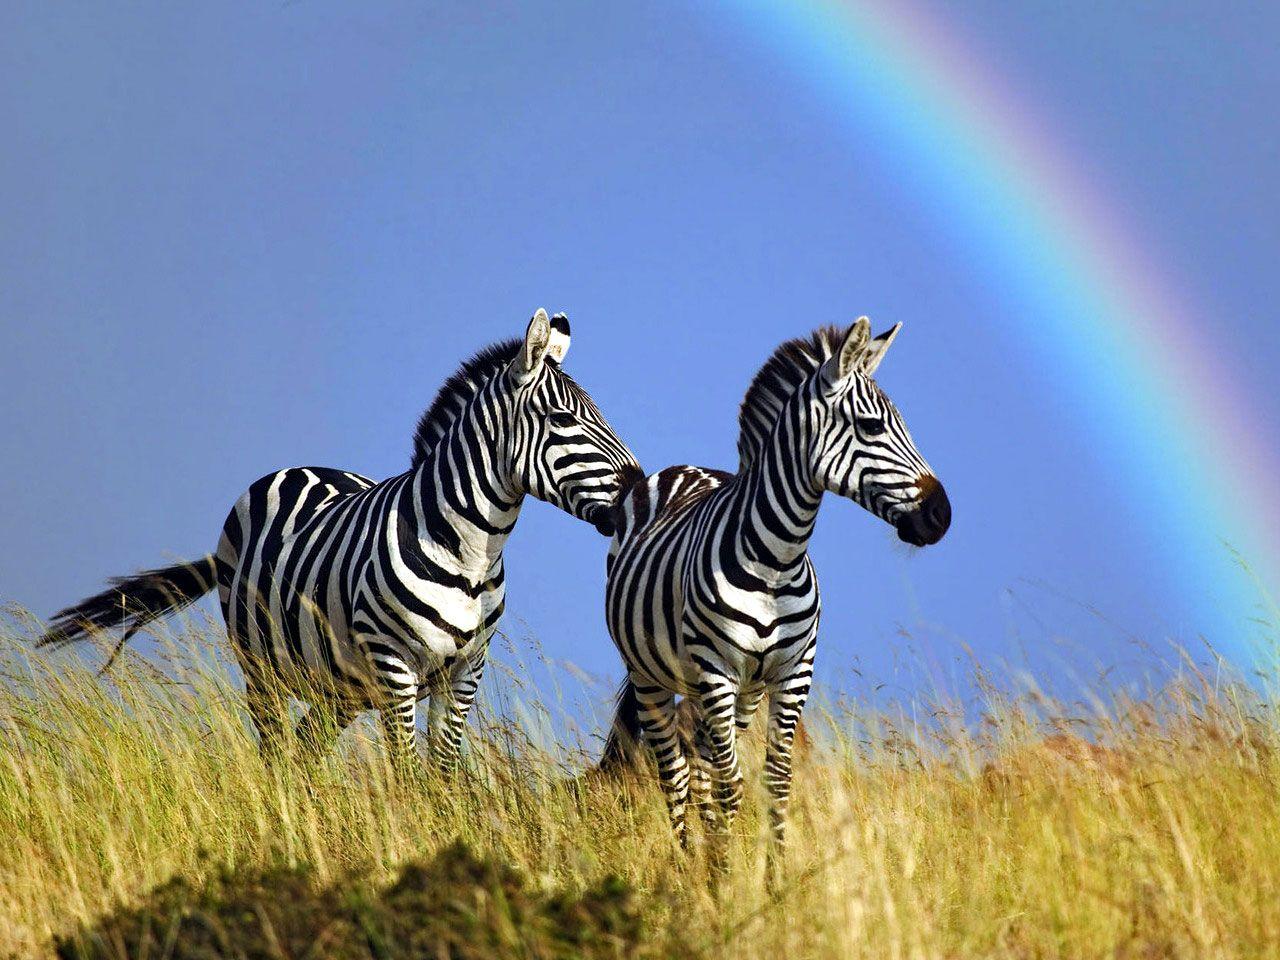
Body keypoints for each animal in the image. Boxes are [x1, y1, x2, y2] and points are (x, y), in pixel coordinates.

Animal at [39, 309, 642, 773]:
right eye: (562, 418)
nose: (639, 486)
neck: (472, 551)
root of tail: (301, 467)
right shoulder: (396, 666)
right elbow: (406, 775)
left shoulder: (466, 671)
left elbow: (443, 775)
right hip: (260, 666)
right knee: (275, 754)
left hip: (340, 685)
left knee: (305, 752)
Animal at [596, 318, 949, 875]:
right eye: (872, 427)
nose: (942, 514)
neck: (777, 560)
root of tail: (682, 468)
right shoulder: (717, 669)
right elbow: (730, 784)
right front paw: (723, 881)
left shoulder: (792, 673)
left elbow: (774, 782)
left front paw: (773, 879)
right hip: (653, 676)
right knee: (677, 774)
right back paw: (691, 867)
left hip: (738, 692)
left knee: (702, 771)